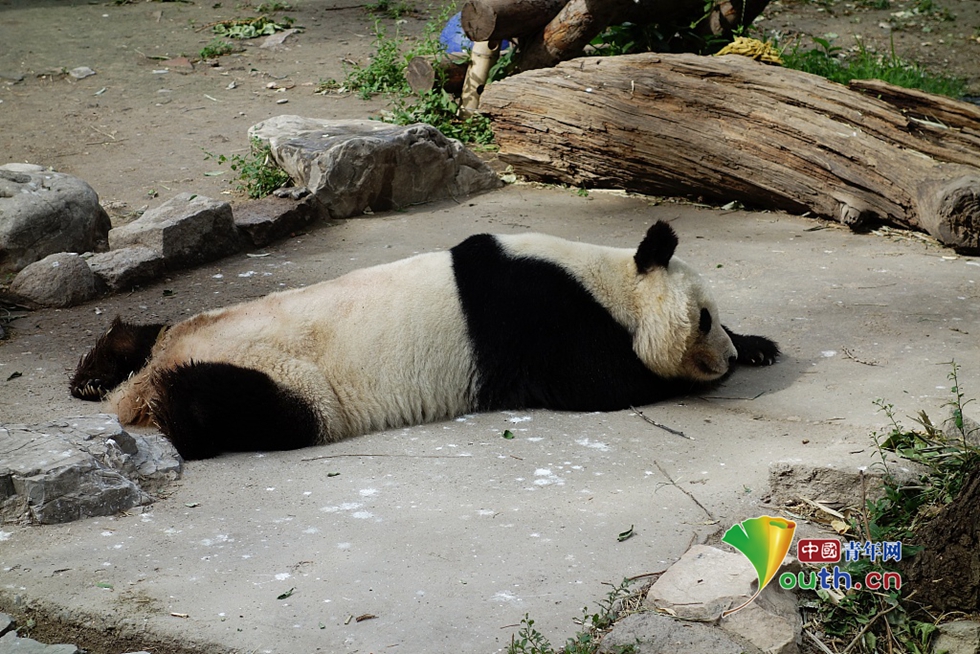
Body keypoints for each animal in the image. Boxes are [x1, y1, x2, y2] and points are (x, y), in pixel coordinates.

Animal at [69, 222, 776, 462]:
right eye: (703, 319)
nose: (725, 358)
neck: (608, 282)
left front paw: (760, 344)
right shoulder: (539, 318)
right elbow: (596, 383)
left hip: (201, 323)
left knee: (151, 334)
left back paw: (99, 370)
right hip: (295, 380)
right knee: (243, 407)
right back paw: (166, 401)